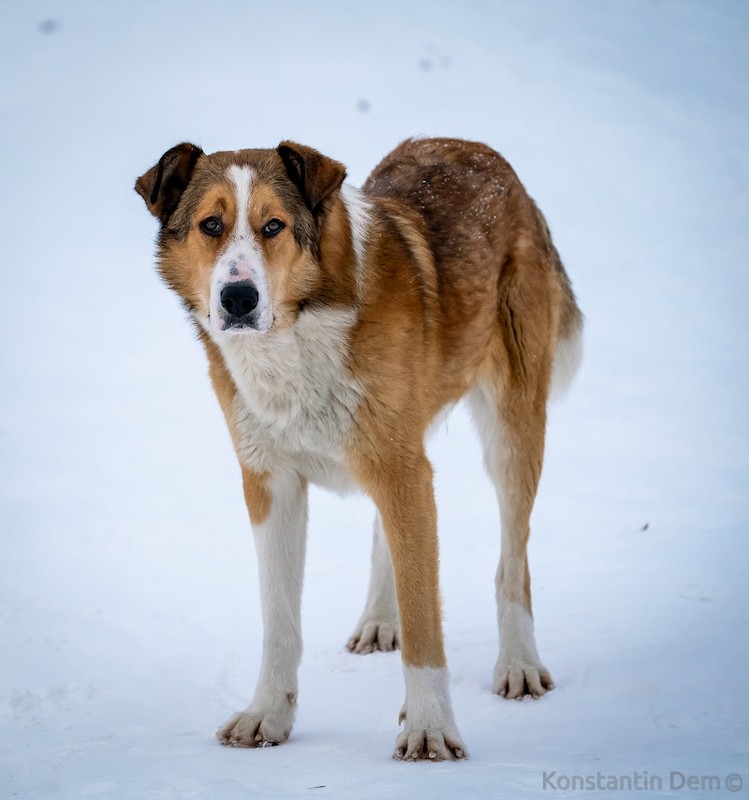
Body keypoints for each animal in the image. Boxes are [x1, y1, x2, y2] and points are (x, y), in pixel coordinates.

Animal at [136, 138, 584, 764]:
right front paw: (268, 716)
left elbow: (426, 621)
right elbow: (279, 619)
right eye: (211, 225)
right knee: (387, 534)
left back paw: (518, 664)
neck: (297, 333)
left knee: (511, 561)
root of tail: (485, 154)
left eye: (273, 225)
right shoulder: (271, 482)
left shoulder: (401, 471)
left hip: (511, 428)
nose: (238, 297)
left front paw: (429, 731)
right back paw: (378, 620)